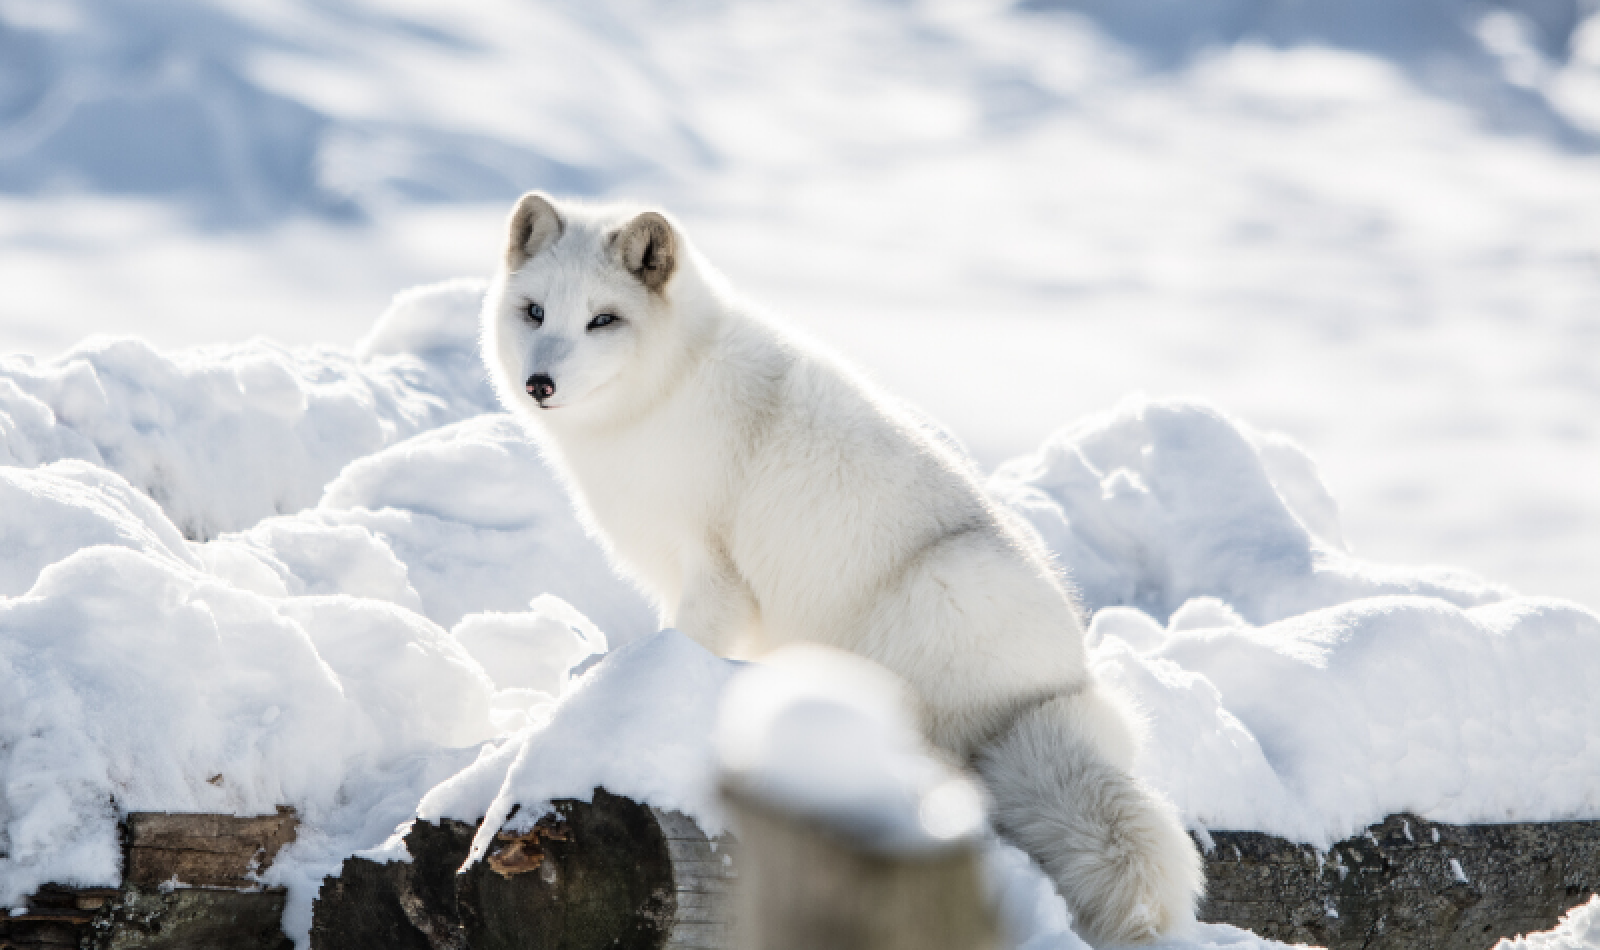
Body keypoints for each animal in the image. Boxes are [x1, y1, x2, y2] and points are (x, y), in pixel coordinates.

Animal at [480, 191, 1203, 940]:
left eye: (603, 319)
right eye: (534, 311)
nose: (539, 384)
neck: (668, 389)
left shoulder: (714, 573)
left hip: (935, 594)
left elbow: (679, 644)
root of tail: (1063, 691)